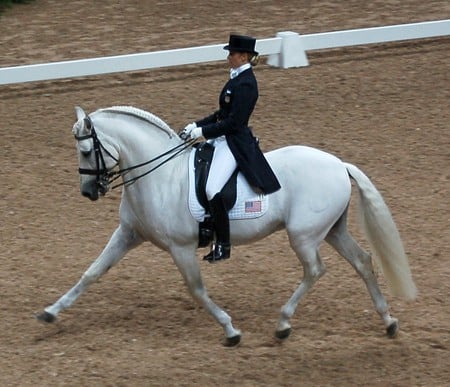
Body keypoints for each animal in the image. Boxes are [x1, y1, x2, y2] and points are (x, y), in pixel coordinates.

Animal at [37, 105, 416, 346]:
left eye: (86, 151)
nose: (88, 192)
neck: (161, 177)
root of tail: (339, 164)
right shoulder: (129, 234)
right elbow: (92, 272)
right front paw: (50, 313)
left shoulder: (180, 248)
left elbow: (196, 289)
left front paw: (230, 331)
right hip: (332, 230)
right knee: (363, 261)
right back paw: (389, 322)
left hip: (304, 236)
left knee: (315, 270)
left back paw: (283, 324)